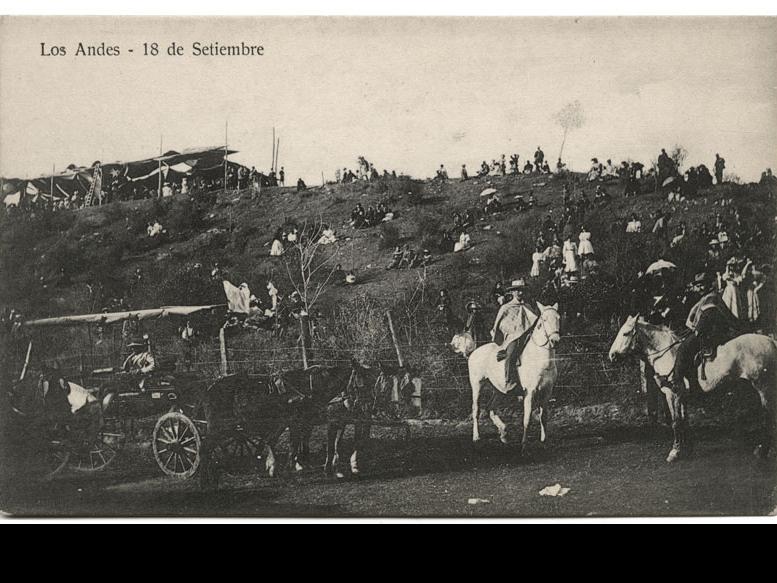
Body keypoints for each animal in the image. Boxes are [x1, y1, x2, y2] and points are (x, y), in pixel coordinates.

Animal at [452, 304, 560, 454]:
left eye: (558, 318)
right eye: (544, 320)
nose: (555, 340)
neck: (541, 360)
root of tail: (473, 352)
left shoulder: (547, 392)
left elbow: (543, 418)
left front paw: (545, 442)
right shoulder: (530, 392)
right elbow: (526, 419)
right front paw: (524, 445)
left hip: (499, 389)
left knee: (490, 408)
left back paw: (504, 433)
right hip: (477, 385)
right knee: (476, 410)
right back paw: (476, 437)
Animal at [608, 318, 772, 464]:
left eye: (625, 333)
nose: (612, 355)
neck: (667, 354)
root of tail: (771, 342)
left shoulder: (672, 394)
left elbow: (675, 422)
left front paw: (675, 452)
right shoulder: (682, 396)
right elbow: (684, 420)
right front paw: (687, 449)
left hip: (763, 386)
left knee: (768, 416)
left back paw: (762, 450)